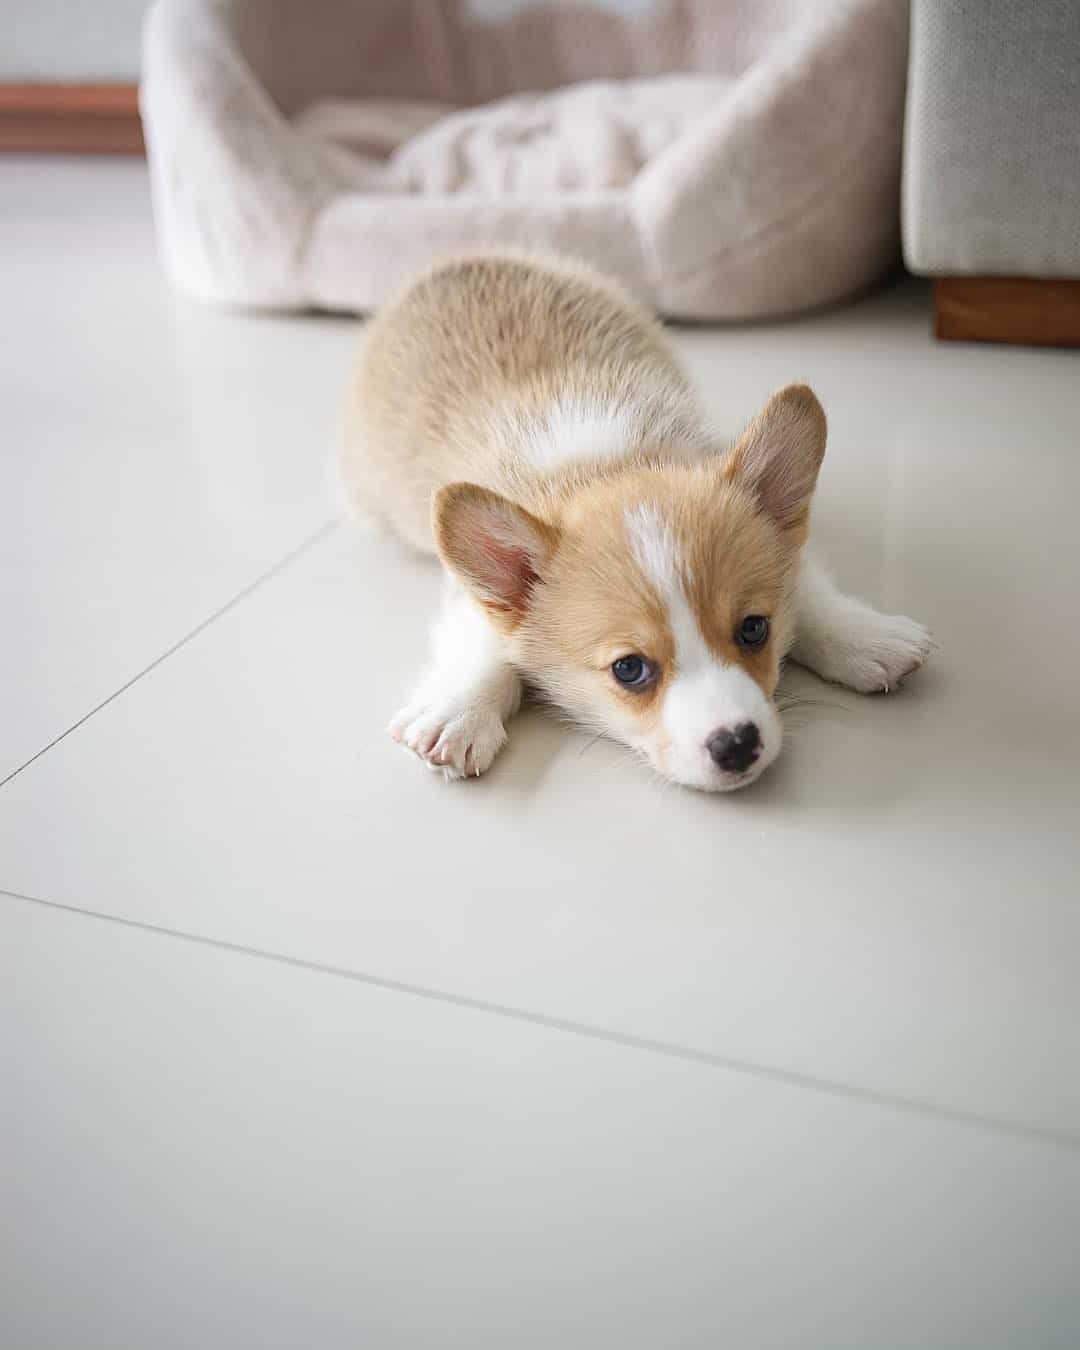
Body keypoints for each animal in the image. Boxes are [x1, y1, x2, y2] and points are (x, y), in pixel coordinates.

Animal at [341, 253, 934, 788]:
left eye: (754, 629)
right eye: (629, 669)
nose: (738, 744)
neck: (611, 463)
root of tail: (459, 258)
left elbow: (808, 590)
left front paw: (865, 638)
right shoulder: (470, 591)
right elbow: (487, 643)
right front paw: (459, 714)